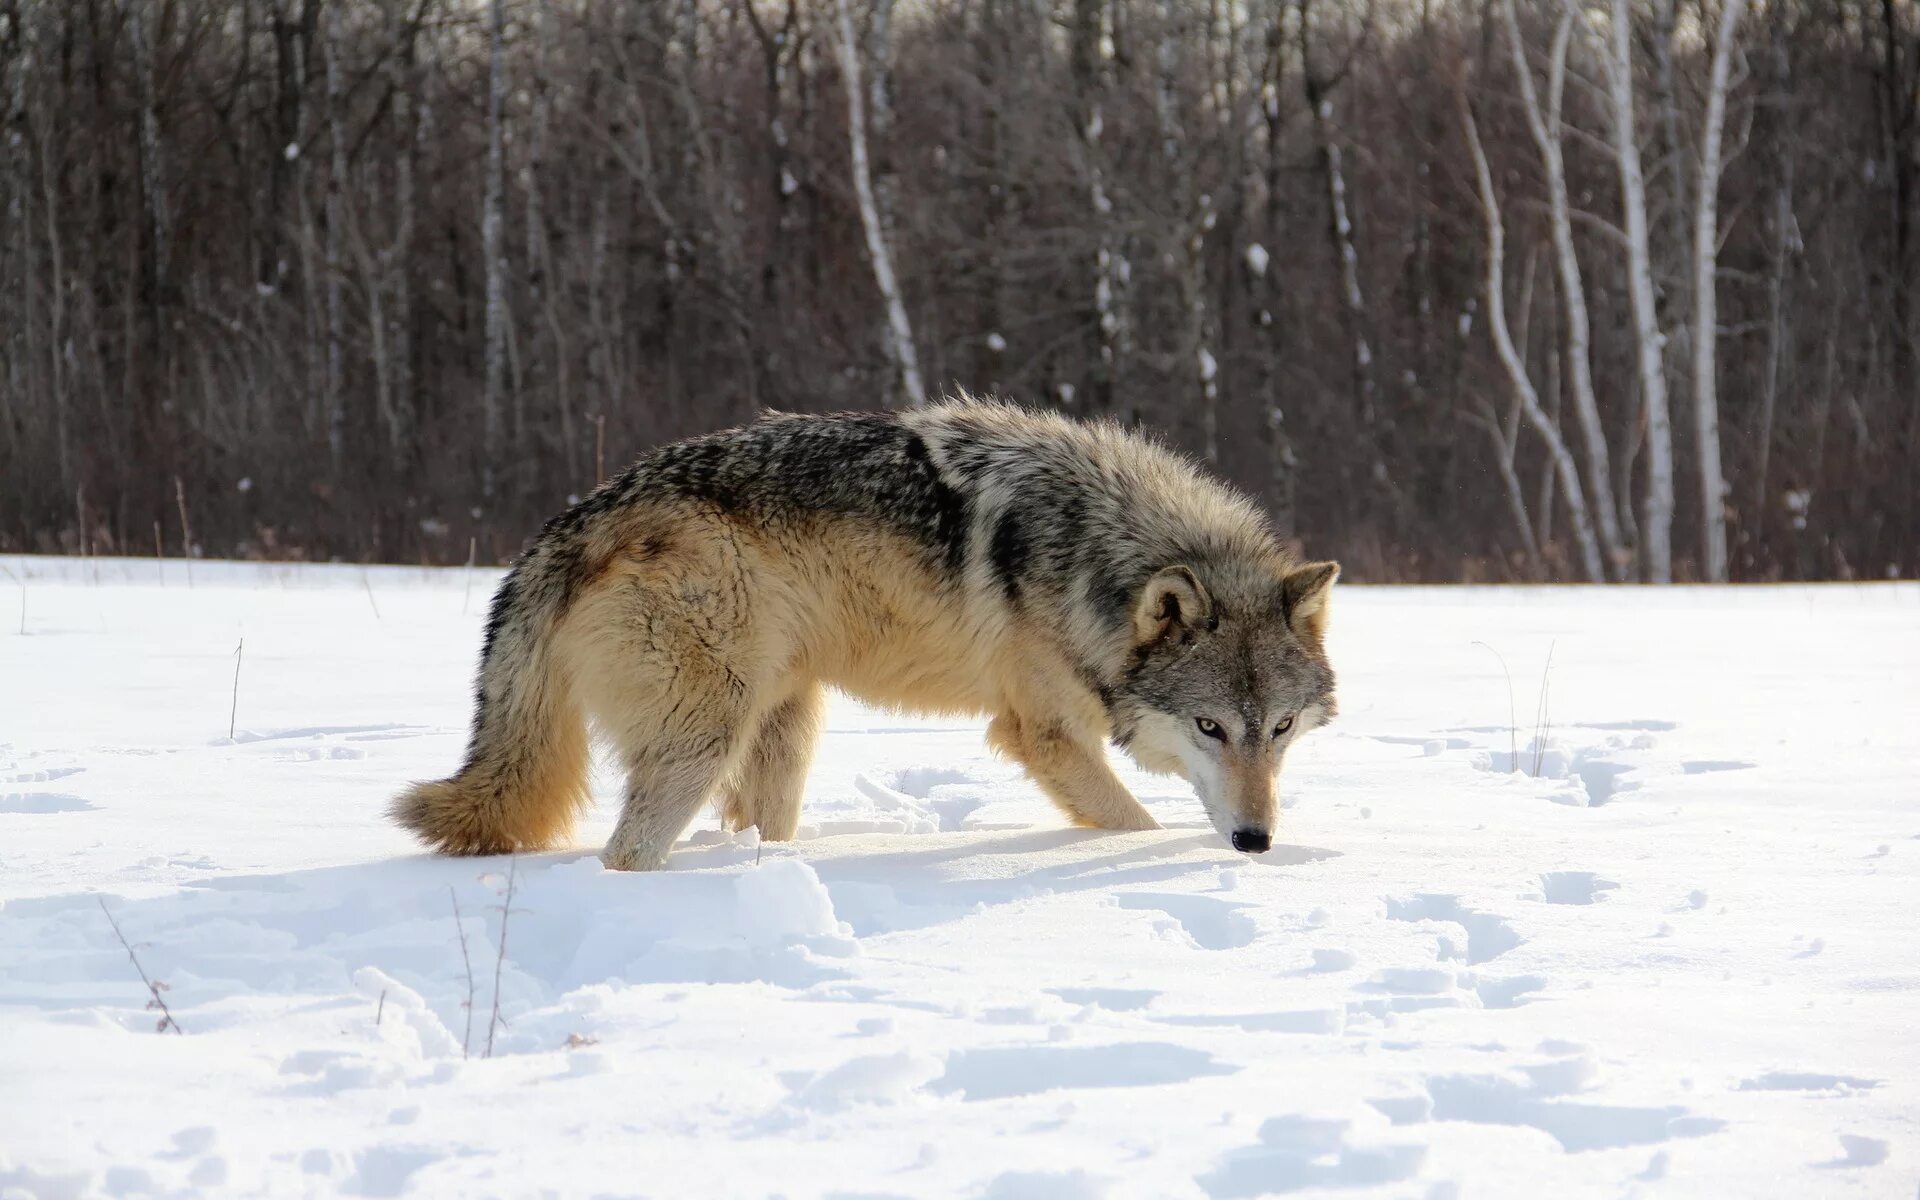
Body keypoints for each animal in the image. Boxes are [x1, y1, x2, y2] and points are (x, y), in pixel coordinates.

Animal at [389, 397, 1336, 864]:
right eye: (1209, 727)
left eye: (1281, 728)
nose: (1256, 842)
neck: (1088, 551)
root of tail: (571, 523)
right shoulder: (1045, 735)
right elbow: (1135, 824)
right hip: (705, 738)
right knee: (624, 855)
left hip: (786, 723)